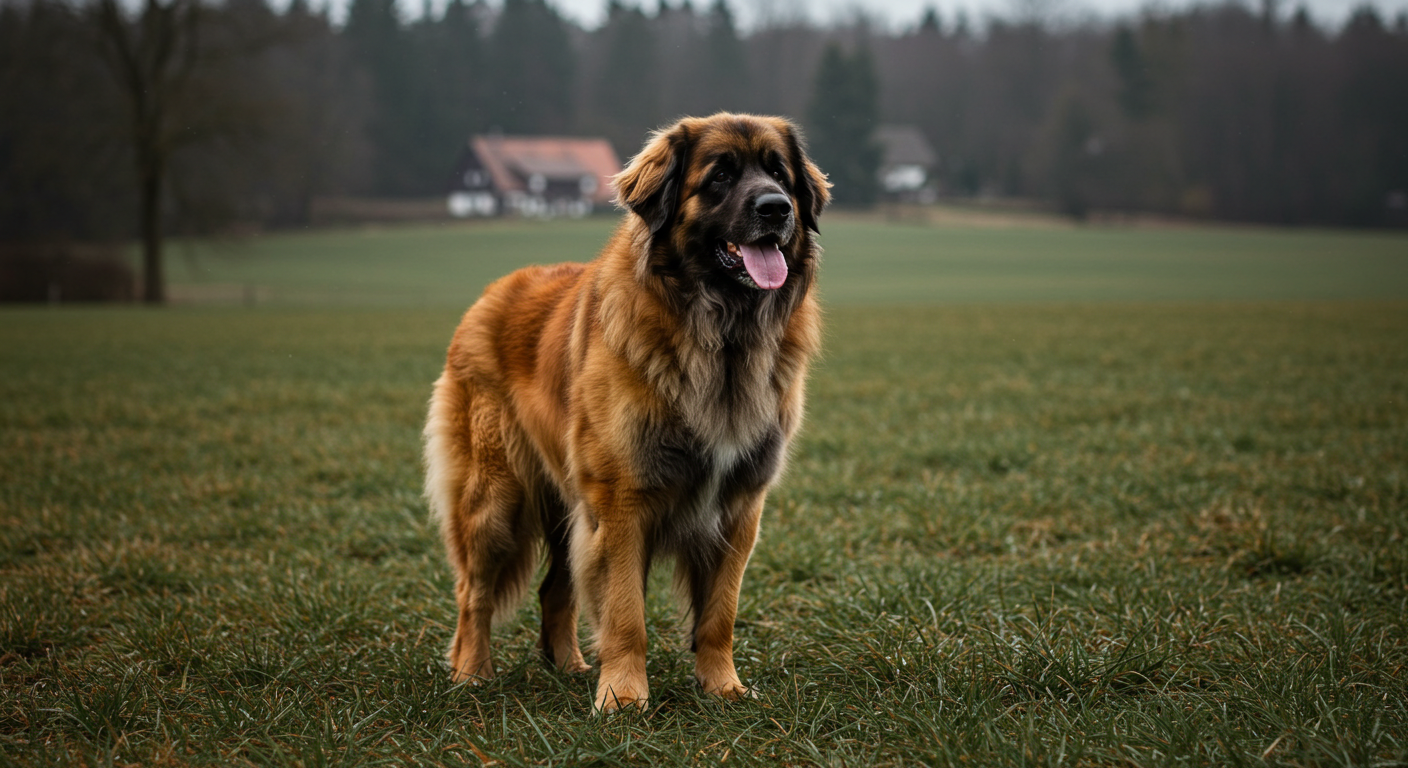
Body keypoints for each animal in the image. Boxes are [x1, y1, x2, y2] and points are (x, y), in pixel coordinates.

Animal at [422, 114, 827, 713]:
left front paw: (722, 687)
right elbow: (625, 613)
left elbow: (720, 613)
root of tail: (492, 292)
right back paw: (472, 673)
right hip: (496, 499)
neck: (721, 337)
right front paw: (622, 696)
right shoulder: (622, 503)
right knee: (473, 592)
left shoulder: (739, 506)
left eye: (779, 174)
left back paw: (567, 666)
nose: (776, 209)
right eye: (720, 177)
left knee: (553, 590)